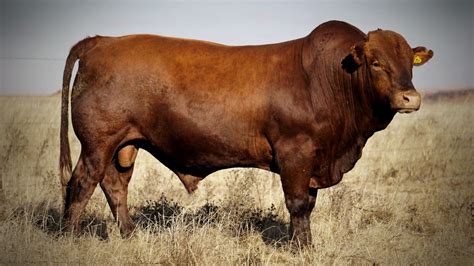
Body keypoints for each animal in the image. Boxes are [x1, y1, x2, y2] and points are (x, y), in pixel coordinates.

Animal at [58, 20, 430, 245]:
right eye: (376, 62)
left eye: (409, 64)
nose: (410, 98)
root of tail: (100, 42)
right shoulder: (295, 153)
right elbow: (298, 204)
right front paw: (300, 249)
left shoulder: (313, 161)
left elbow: (308, 205)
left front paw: (303, 245)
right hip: (97, 143)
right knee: (81, 184)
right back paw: (70, 239)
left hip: (125, 145)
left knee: (115, 186)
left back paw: (129, 235)